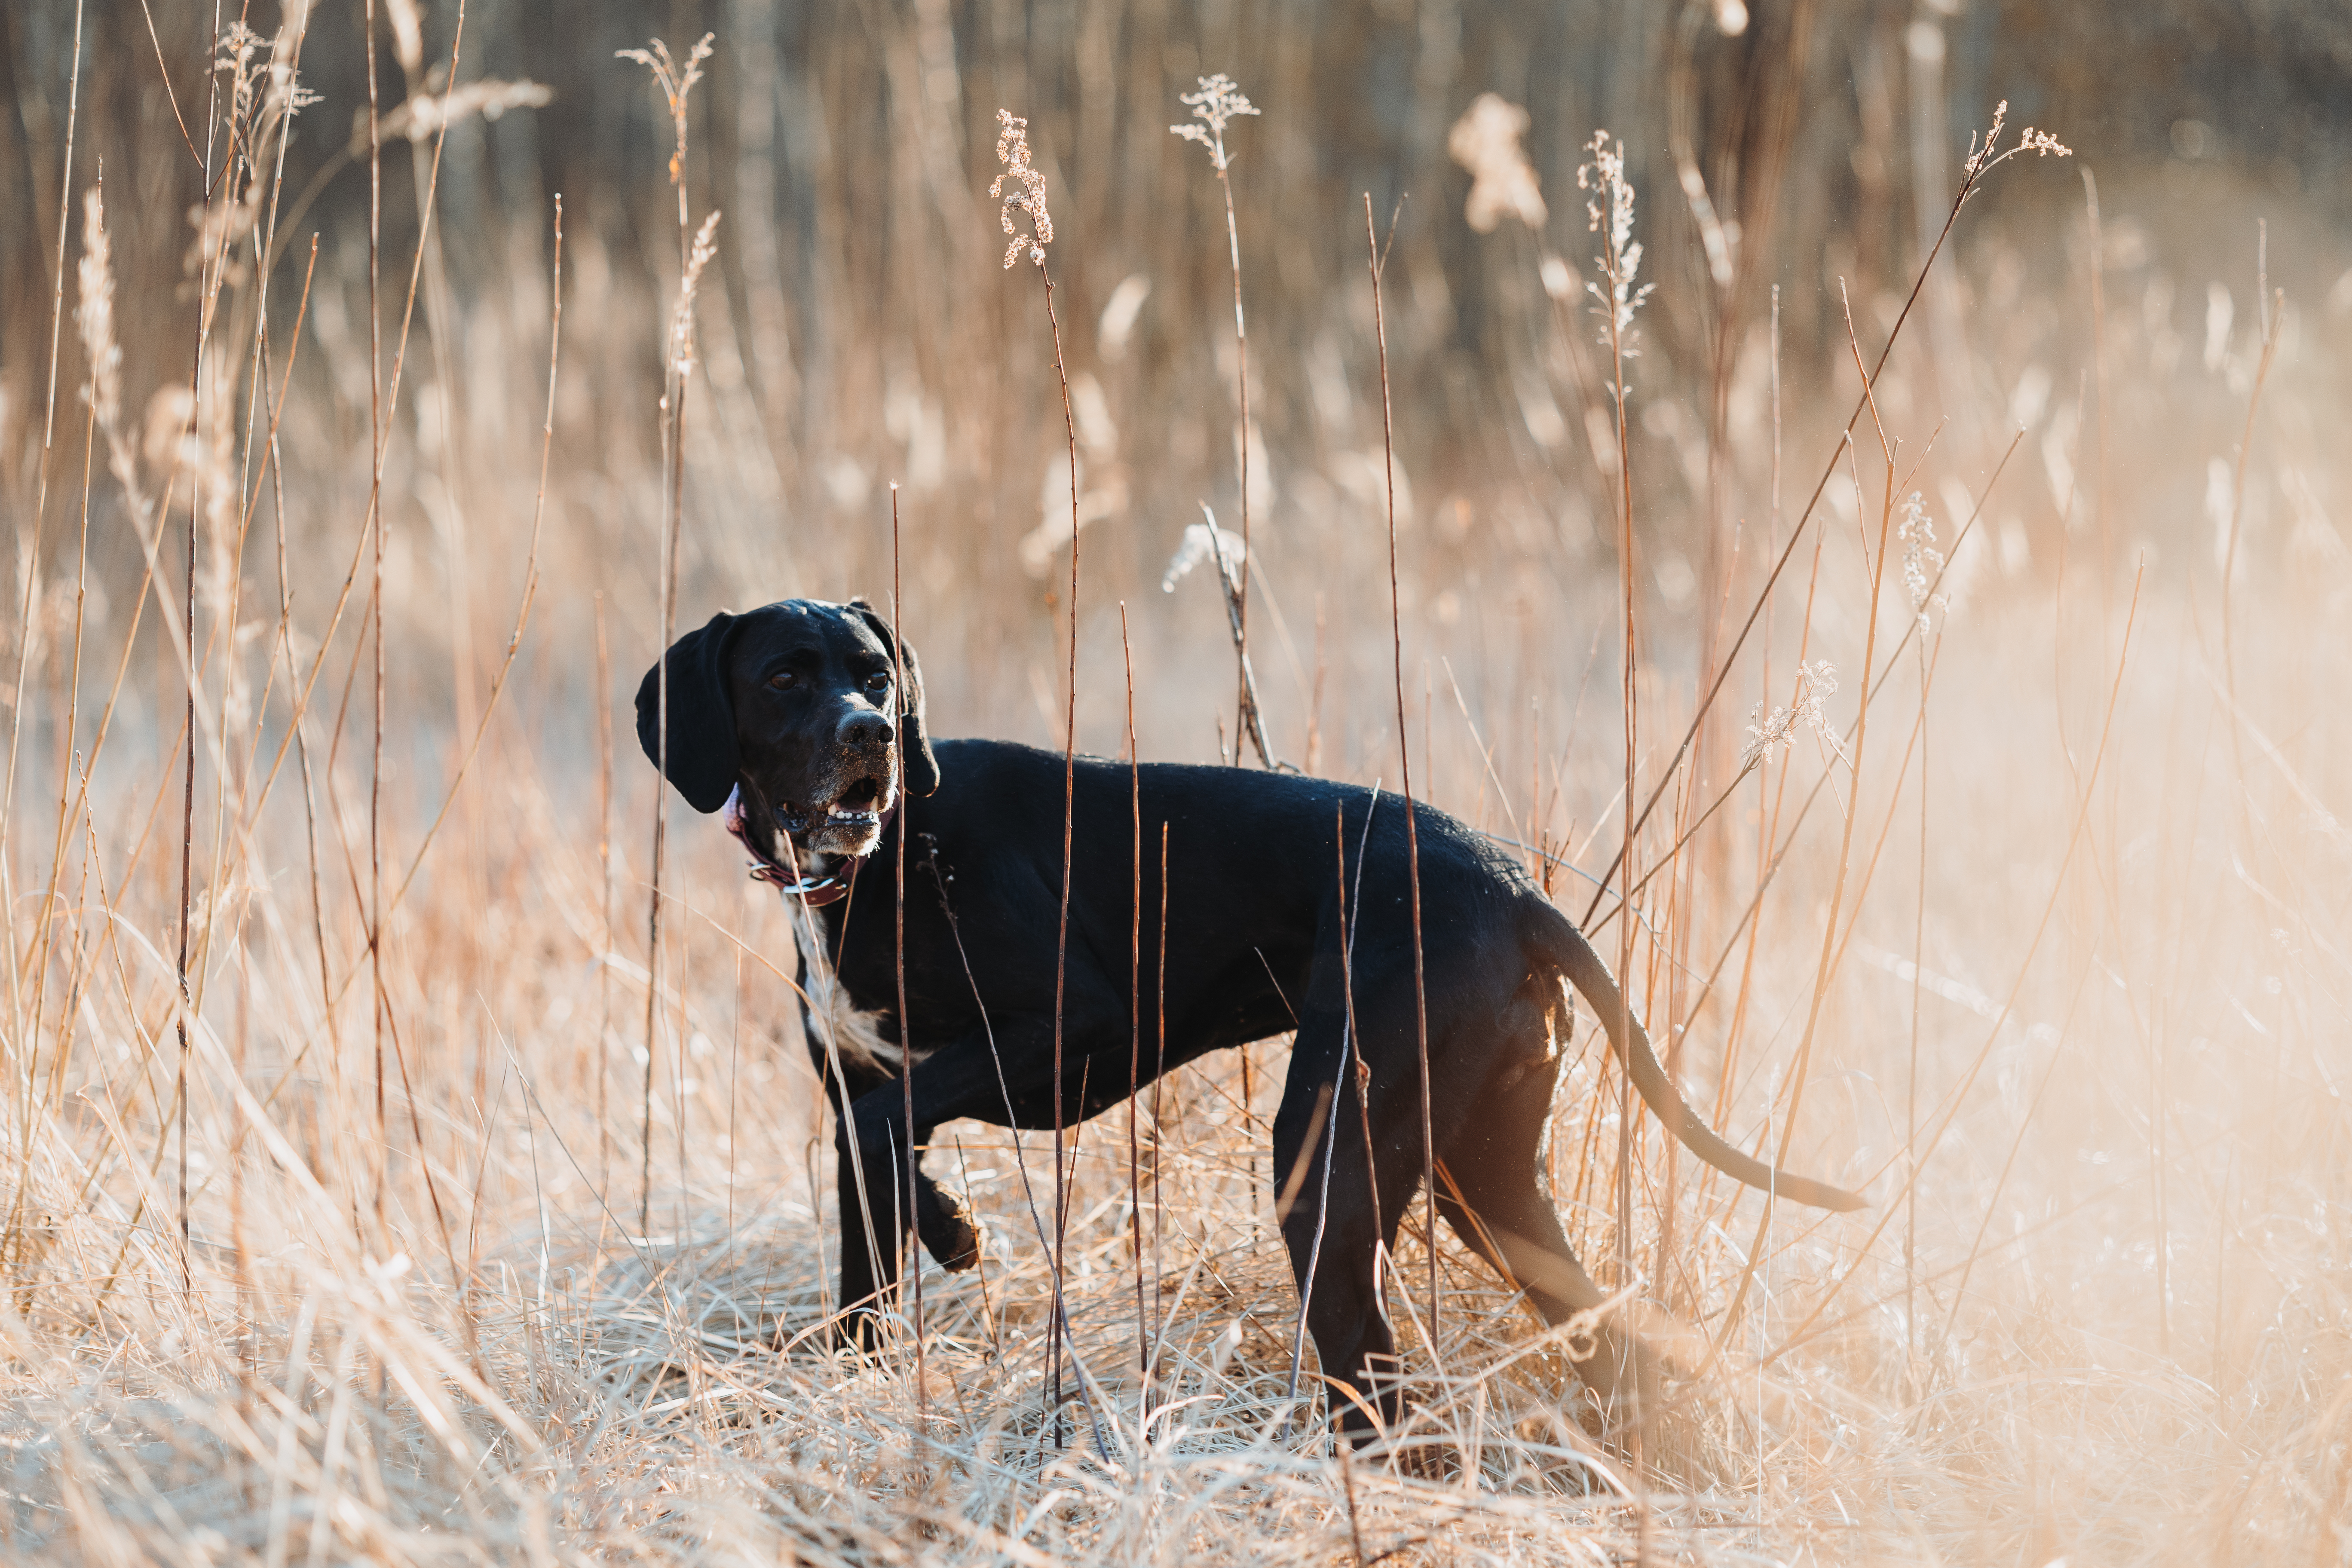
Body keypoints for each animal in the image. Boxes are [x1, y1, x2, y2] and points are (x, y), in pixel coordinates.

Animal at [640, 594, 1853, 1439]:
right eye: (785, 677)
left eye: (877, 677)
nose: (872, 737)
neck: (883, 867)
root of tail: (1511, 885)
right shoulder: (864, 1087)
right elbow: (868, 1237)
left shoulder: (1073, 1027)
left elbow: (892, 1118)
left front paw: (951, 1227)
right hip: (1487, 1185)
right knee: (1599, 1337)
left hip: (1330, 1164)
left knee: (1377, 1379)